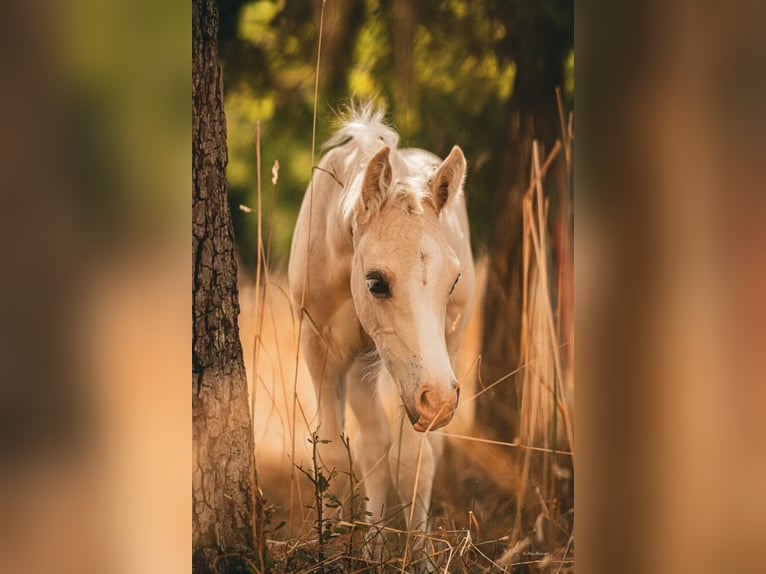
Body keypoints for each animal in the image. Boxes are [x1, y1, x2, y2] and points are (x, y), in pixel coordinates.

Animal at [290, 106, 474, 536]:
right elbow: (334, 458)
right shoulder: (320, 349)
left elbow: (411, 464)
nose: (440, 402)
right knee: (372, 444)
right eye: (376, 281)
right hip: (364, 365)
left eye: (453, 279)